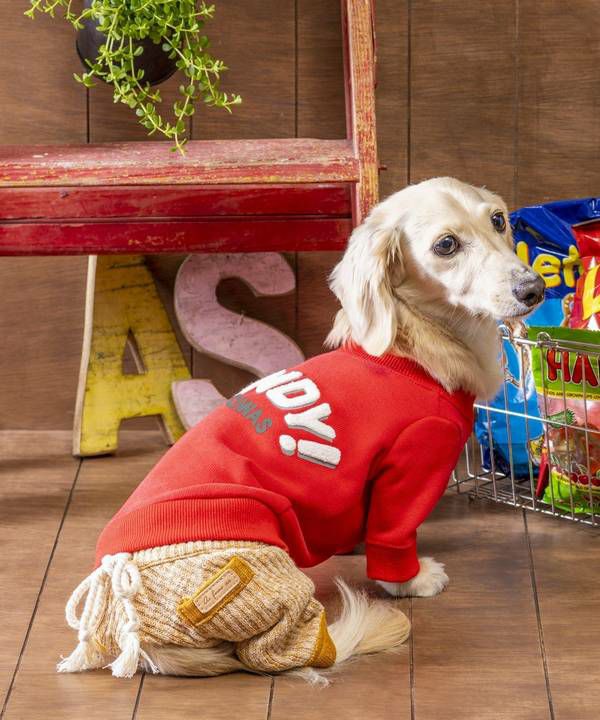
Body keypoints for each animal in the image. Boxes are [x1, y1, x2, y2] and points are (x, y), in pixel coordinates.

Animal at [58, 177, 544, 683]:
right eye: (445, 245)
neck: (410, 345)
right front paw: (411, 578)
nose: (535, 288)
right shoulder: (413, 462)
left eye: (498, 220)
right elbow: (393, 536)